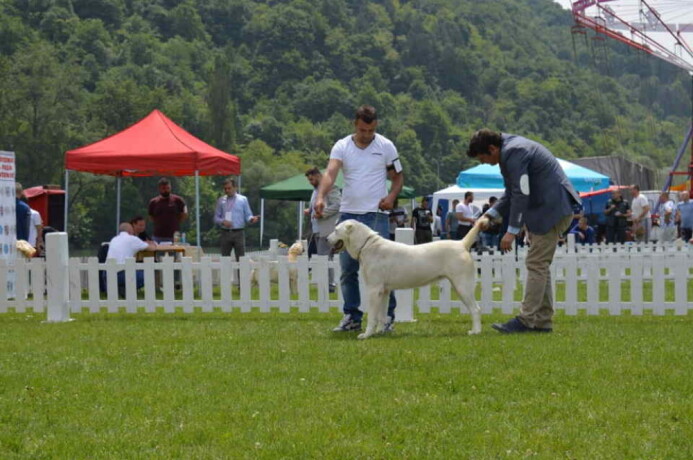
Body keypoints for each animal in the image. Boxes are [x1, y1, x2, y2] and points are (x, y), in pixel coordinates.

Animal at [326, 217, 484, 340]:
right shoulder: (383, 291)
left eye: (336, 230)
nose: (326, 239)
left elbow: (372, 316)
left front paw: (366, 335)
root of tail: (461, 243)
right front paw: (380, 332)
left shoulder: (373, 290)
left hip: (462, 286)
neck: (366, 245)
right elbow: (382, 315)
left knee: (476, 309)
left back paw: (475, 332)